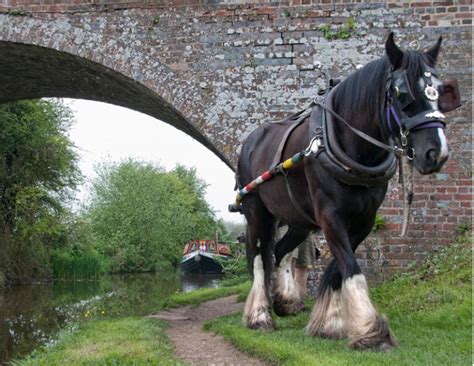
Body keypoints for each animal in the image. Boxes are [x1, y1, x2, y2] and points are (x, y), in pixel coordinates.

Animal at [236, 34, 460, 352]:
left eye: (440, 91)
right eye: (401, 93)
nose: (437, 153)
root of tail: (252, 140)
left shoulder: (364, 220)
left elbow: (337, 269)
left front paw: (329, 323)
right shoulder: (330, 216)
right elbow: (351, 267)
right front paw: (371, 331)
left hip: (299, 221)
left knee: (279, 252)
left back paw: (284, 300)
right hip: (257, 211)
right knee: (258, 258)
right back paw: (259, 315)